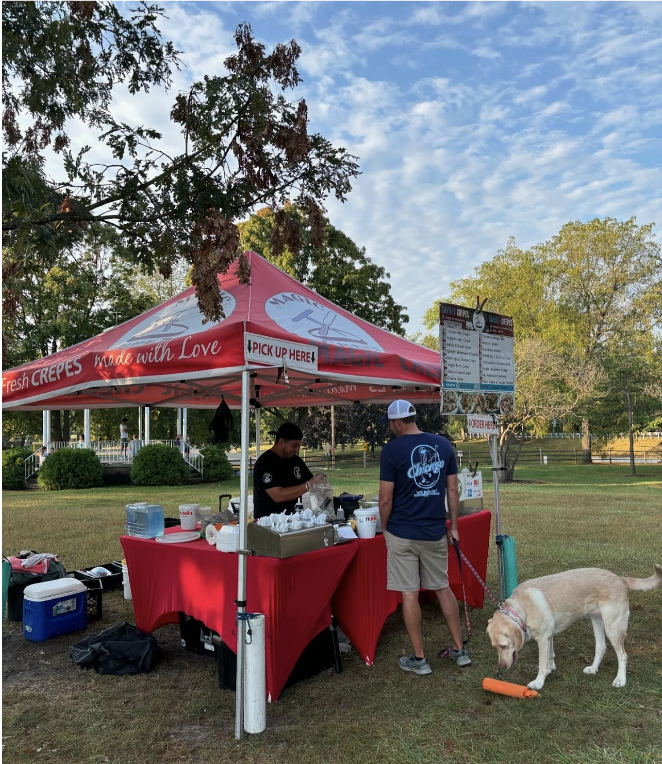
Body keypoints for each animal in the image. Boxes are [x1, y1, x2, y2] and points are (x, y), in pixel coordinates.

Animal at [488, 560, 662, 692]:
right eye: (495, 647)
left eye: (503, 646)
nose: (501, 666)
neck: (520, 610)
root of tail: (620, 579)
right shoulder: (549, 636)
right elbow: (550, 656)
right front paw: (551, 669)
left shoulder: (543, 639)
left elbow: (542, 663)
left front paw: (539, 682)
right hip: (597, 620)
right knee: (601, 647)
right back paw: (593, 669)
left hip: (613, 627)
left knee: (622, 655)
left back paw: (620, 680)